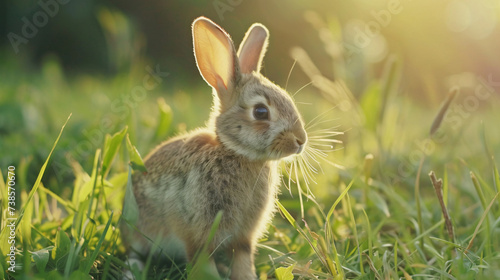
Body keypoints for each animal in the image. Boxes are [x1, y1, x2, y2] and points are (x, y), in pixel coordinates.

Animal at [121, 15, 306, 280]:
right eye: (261, 111)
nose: (301, 140)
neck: (236, 153)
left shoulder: (243, 238)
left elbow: (242, 261)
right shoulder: (199, 232)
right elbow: (203, 262)